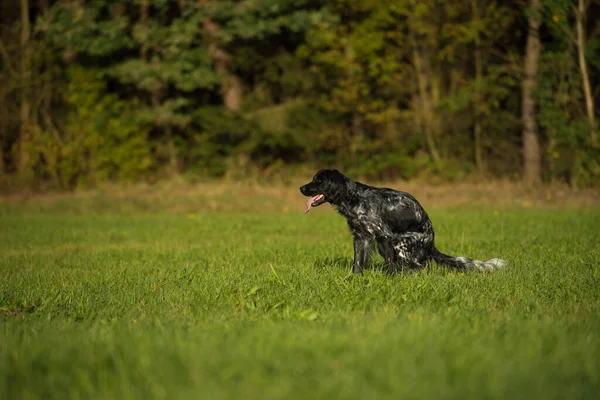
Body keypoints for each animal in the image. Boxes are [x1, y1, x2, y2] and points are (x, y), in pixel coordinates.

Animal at [300, 169, 506, 276]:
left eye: (318, 181)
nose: (301, 188)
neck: (355, 198)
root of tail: (431, 244)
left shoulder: (382, 235)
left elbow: (390, 264)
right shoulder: (360, 238)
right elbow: (357, 263)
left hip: (401, 245)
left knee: (420, 266)